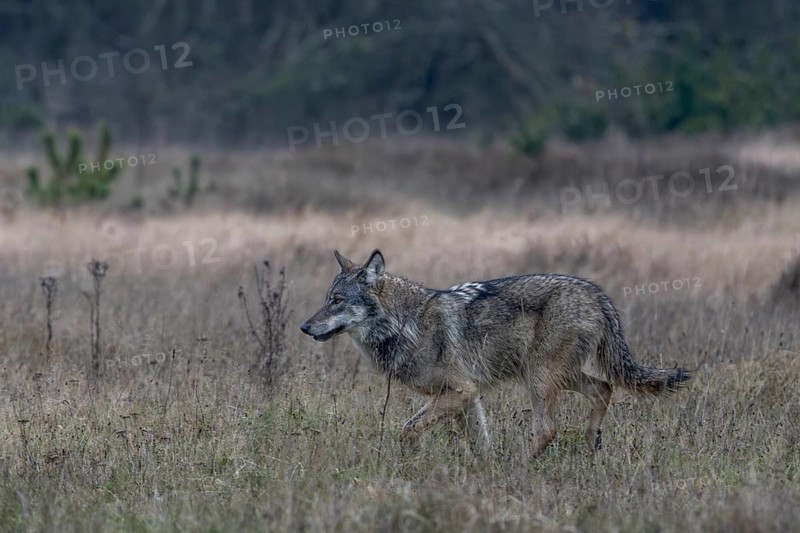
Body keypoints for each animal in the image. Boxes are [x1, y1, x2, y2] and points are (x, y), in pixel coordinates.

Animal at [300, 250, 691, 457]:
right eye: (326, 299)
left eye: (337, 301)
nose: (304, 327)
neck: (405, 322)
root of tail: (597, 294)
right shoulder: (467, 396)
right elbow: (480, 443)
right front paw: (484, 473)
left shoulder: (459, 391)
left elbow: (408, 430)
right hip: (558, 376)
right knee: (604, 389)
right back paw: (592, 445)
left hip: (539, 379)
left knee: (548, 429)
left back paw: (522, 464)